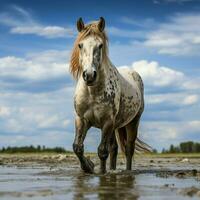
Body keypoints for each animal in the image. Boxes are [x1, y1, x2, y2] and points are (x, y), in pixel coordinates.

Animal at [69, 16, 151, 173]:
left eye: (100, 45)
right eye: (80, 45)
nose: (89, 75)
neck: (92, 92)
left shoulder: (107, 122)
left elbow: (102, 151)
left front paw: (100, 172)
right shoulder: (81, 120)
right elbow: (77, 147)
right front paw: (88, 166)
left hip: (133, 122)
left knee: (128, 148)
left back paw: (127, 171)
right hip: (116, 126)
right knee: (114, 148)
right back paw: (112, 169)